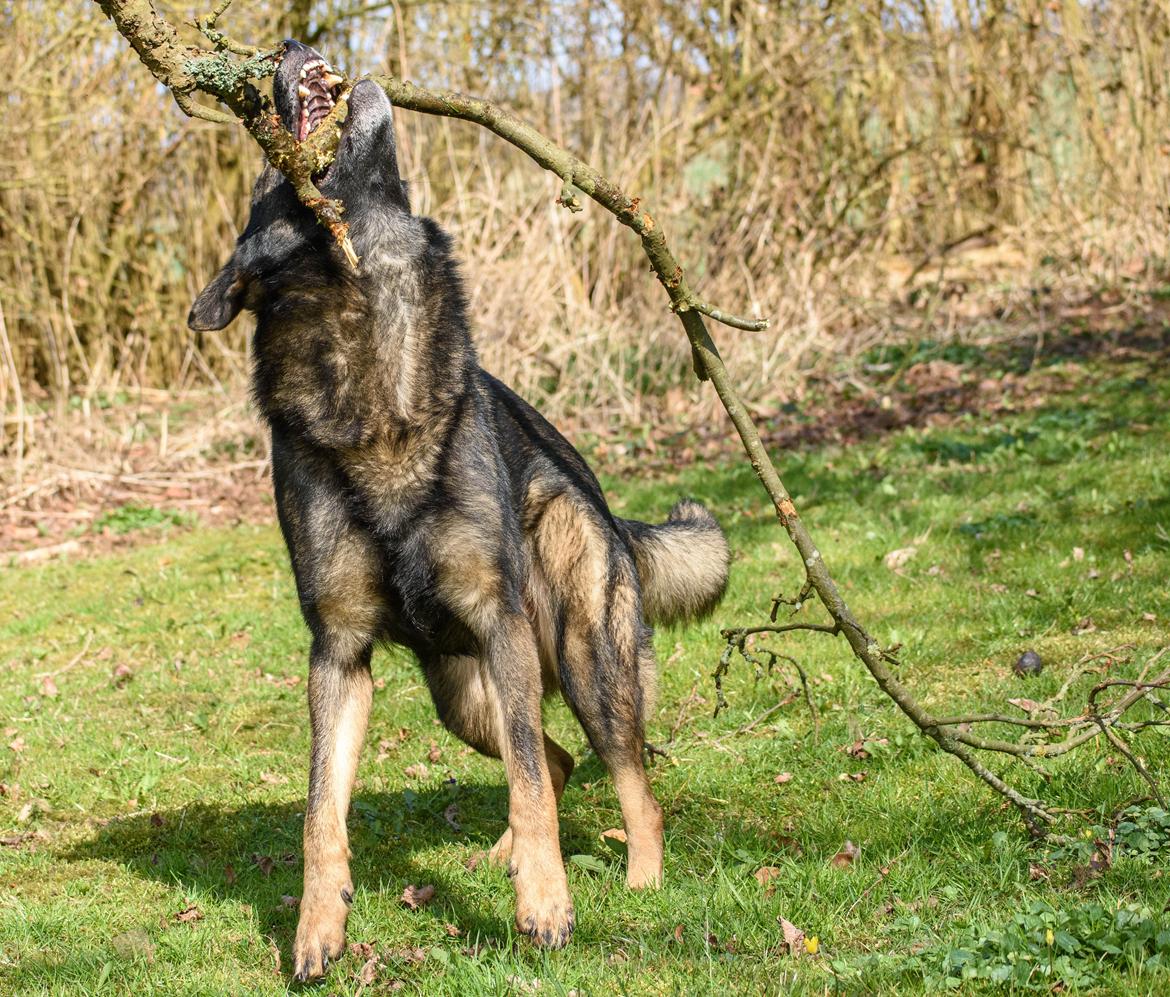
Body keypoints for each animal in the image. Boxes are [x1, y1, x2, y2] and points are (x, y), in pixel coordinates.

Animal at [187, 40, 725, 982]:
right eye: (267, 182)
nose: (291, 44)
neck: (372, 346)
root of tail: (606, 502)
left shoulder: (498, 618)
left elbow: (529, 783)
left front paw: (545, 904)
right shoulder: (339, 654)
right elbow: (320, 813)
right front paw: (317, 927)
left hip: (583, 659)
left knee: (620, 778)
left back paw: (638, 883)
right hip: (461, 694)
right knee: (553, 758)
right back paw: (509, 854)